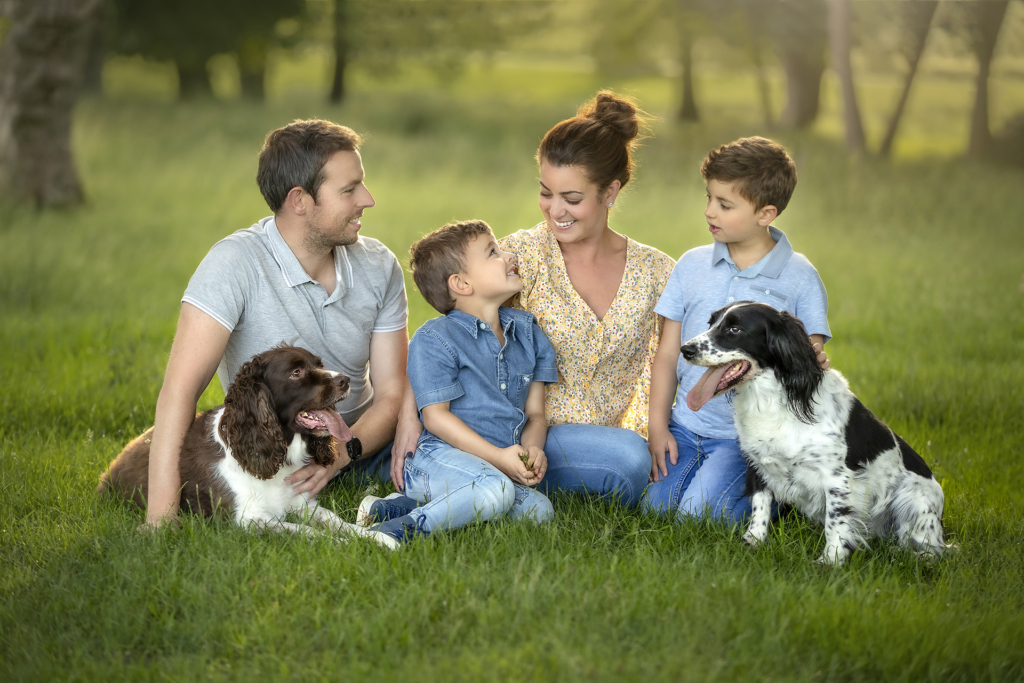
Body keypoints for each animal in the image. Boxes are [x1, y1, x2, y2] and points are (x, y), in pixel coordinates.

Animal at [99, 348, 387, 544]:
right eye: (296, 373)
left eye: (319, 364)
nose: (345, 380)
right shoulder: (247, 521)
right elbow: (305, 530)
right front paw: (343, 544)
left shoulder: (300, 502)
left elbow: (334, 520)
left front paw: (376, 538)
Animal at [684, 305, 946, 565]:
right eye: (711, 323)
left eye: (734, 329)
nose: (685, 349)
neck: (771, 401)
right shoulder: (757, 464)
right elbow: (760, 506)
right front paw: (753, 543)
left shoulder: (837, 477)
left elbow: (836, 521)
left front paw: (831, 560)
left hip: (915, 500)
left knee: (933, 549)